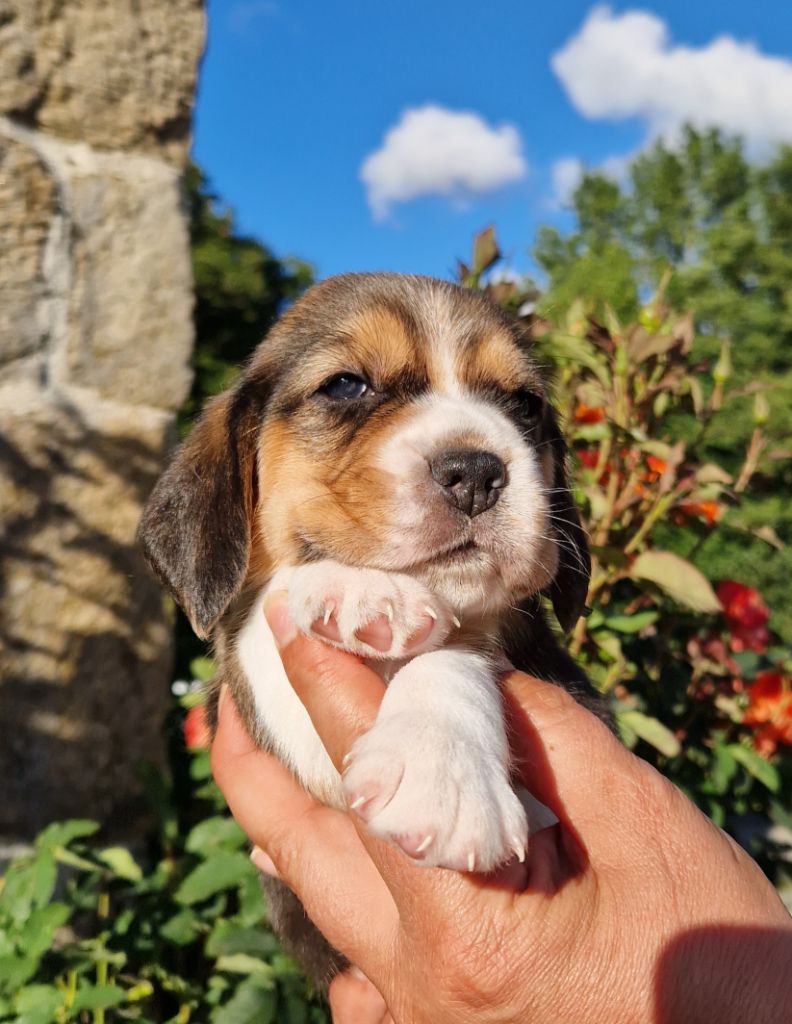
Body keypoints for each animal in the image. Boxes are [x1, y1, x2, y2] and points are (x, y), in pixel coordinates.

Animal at [139, 274, 602, 983]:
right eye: (345, 386)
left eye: (524, 404)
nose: (476, 471)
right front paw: (359, 589)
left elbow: (455, 650)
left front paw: (440, 772)